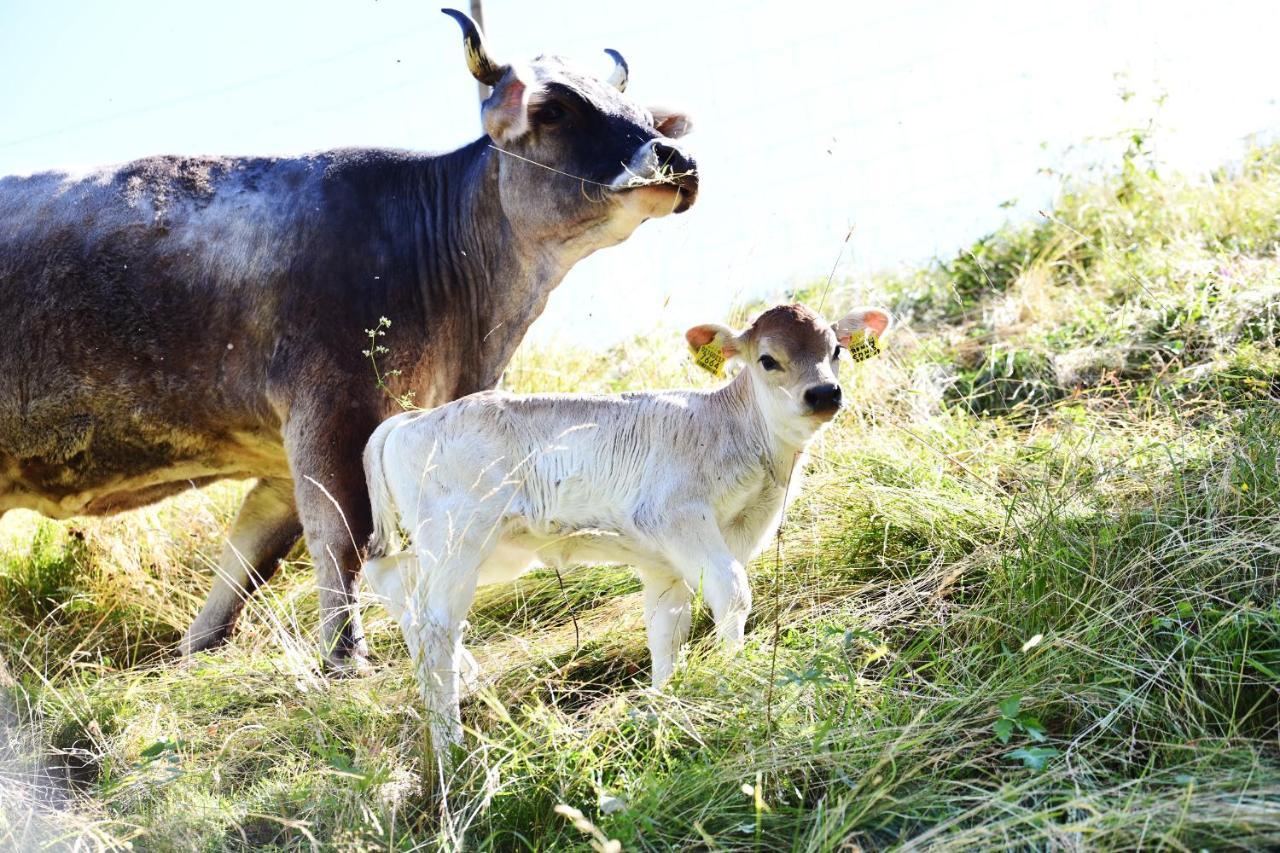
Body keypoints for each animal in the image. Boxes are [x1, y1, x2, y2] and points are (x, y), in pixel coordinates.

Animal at [0, 9, 696, 666]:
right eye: (553, 109)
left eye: (644, 115)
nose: (678, 160)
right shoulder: (335, 406)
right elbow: (344, 535)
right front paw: (346, 656)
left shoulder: (285, 453)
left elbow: (250, 559)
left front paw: (200, 650)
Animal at [360, 302, 890, 747]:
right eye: (767, 360)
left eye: (836, 350)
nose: (823, 393)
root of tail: (409, 421)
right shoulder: (676, 516)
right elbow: (733, 592)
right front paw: (736, 676)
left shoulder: (666, 560)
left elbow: (666, 628)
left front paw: (666, 703)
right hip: (459, 536)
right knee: (435, 628)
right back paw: (451, 747)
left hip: (482, 549)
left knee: (393, 585)